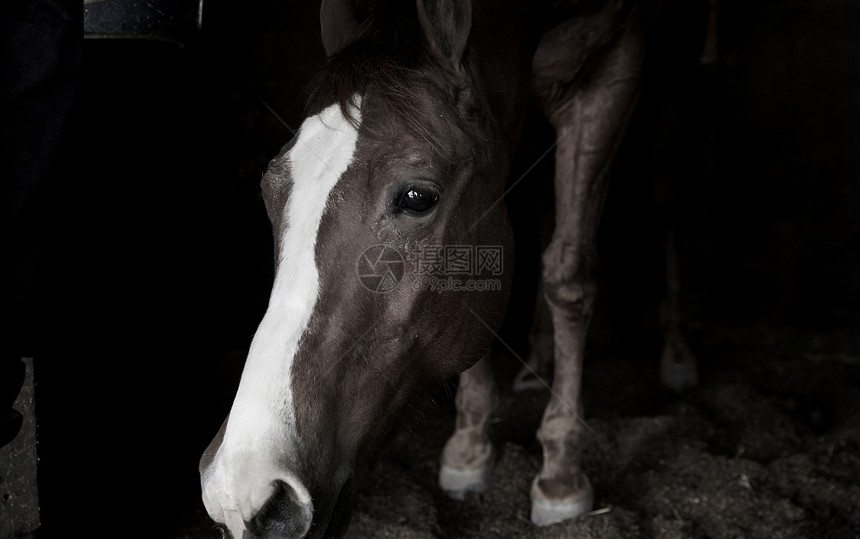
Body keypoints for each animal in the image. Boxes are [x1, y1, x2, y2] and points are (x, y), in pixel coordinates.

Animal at [202, 2, 704, 536]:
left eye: (417, 197)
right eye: (269, 190)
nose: (242, 492)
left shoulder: (614, 66)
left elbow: (567, 274)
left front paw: (561, 474)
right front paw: (469, 446)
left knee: (665, 200)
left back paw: (676, 352)